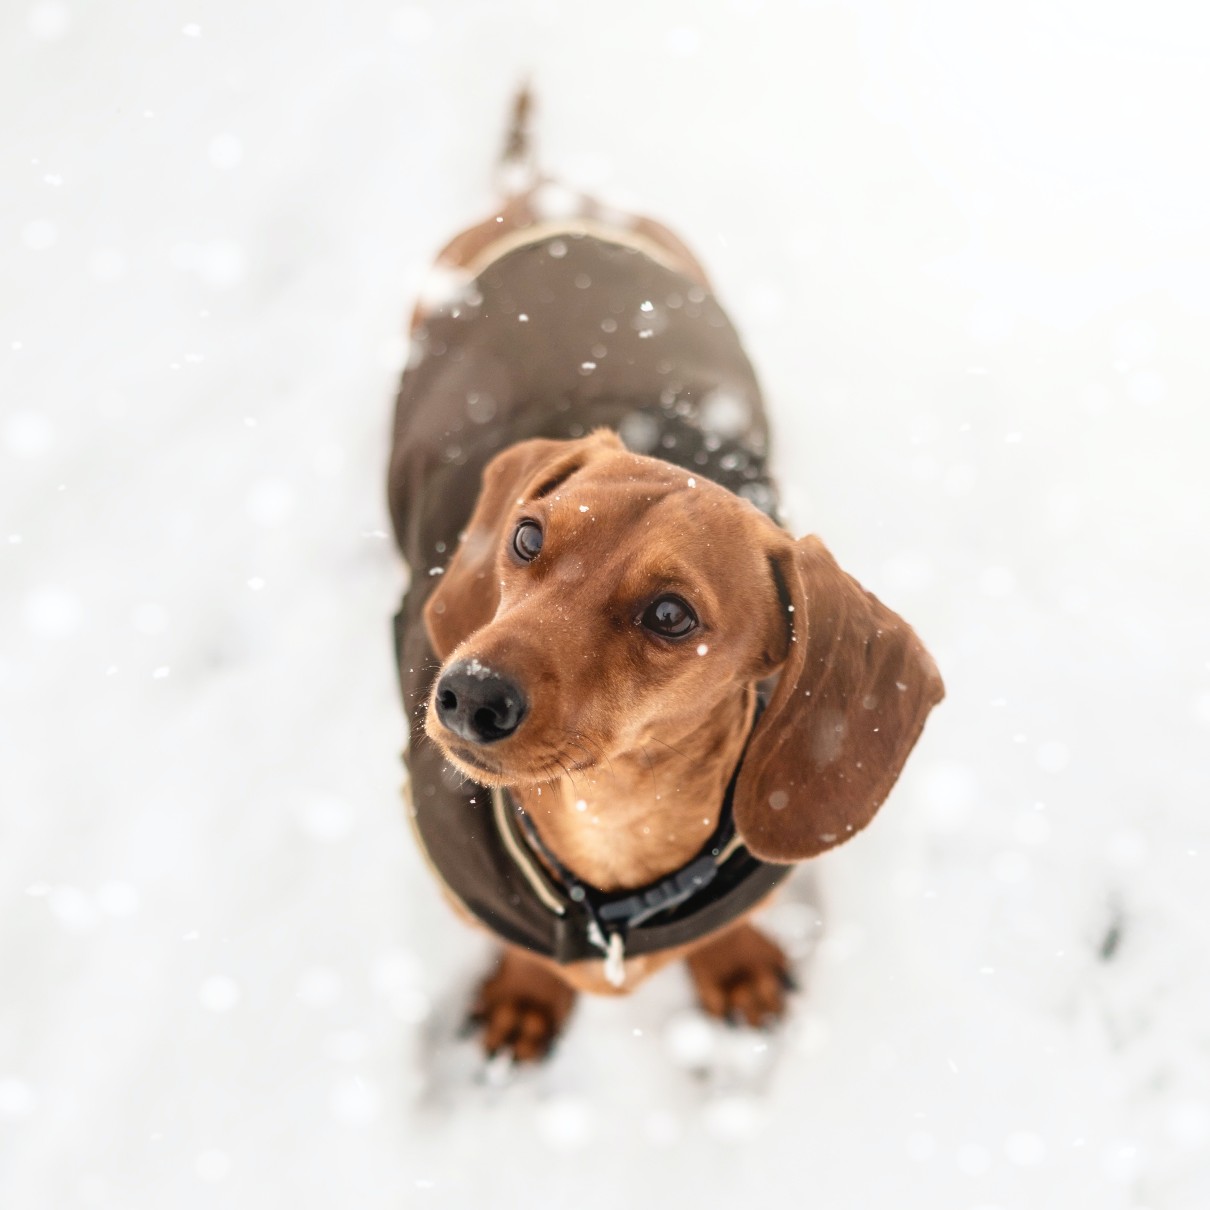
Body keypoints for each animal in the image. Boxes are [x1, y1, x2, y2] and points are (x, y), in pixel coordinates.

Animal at [387, 91, 943, 1059]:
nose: (466, 693)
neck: (611, 845)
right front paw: (528, 990)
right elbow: (521, 951)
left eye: (673, 615)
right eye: (526, 538)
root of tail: (554, 194)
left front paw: (733, 961)